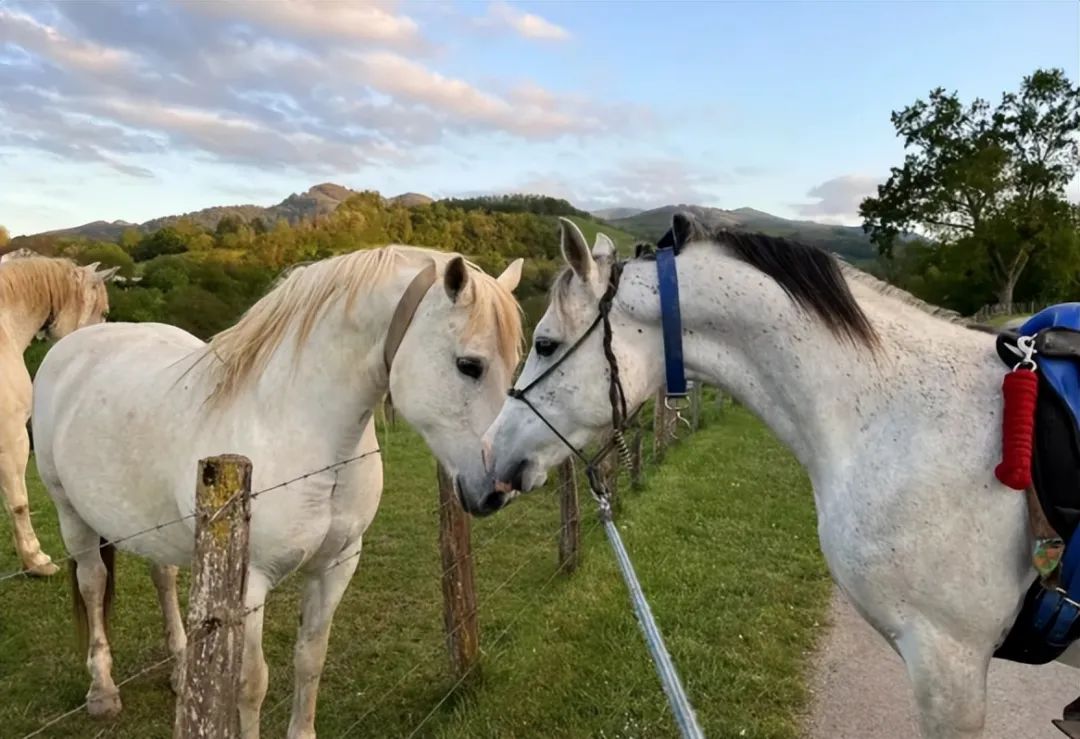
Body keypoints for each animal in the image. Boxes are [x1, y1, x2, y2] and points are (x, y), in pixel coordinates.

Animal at [30, 246, 522, 739]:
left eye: (517, 362)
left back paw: (182, 670)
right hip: (70, 514)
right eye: (469, 365)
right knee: (93, 584)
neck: (298, 426)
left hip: (153, 526)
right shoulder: (252, 583)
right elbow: (252, 683)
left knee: (162, 577)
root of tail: (73, 345)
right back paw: (102, 690)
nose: (501, 485)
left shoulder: (337, 564)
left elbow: (310, 658)